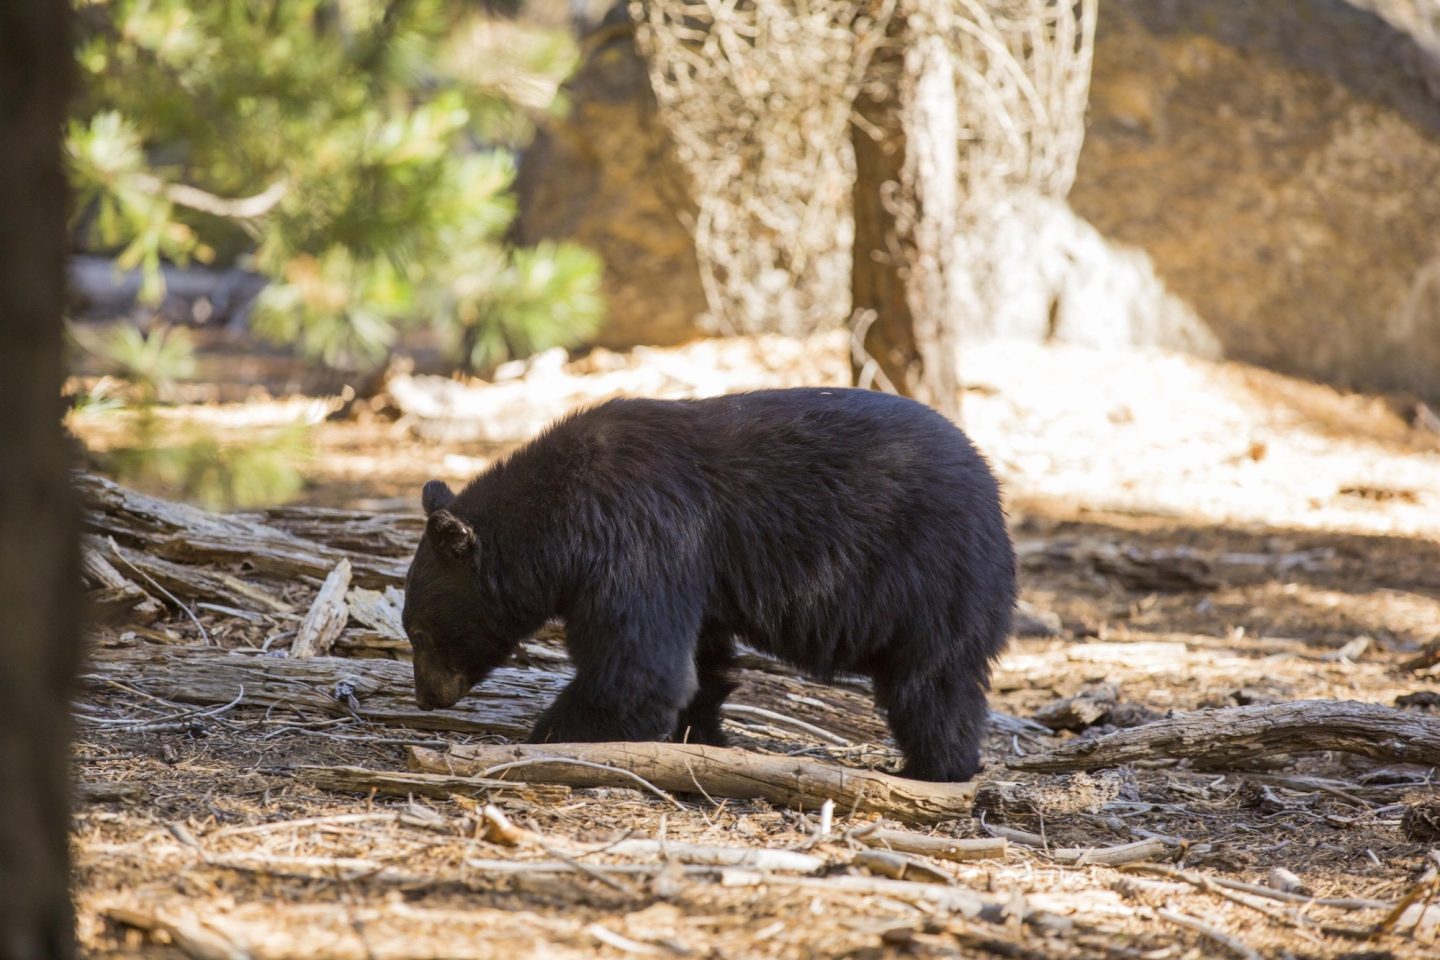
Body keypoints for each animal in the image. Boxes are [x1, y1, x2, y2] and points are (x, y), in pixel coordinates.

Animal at [400, 388, 1019, 782]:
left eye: (417, 633)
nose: (427, 696)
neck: (557, 518)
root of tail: (995, 492)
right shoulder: (691, 570)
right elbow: (699, 658)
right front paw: (700, 737)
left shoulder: (636, 531)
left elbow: (638, 664)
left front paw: (550, 736)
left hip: (932, 578)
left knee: (933, 682)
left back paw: (934, 768)